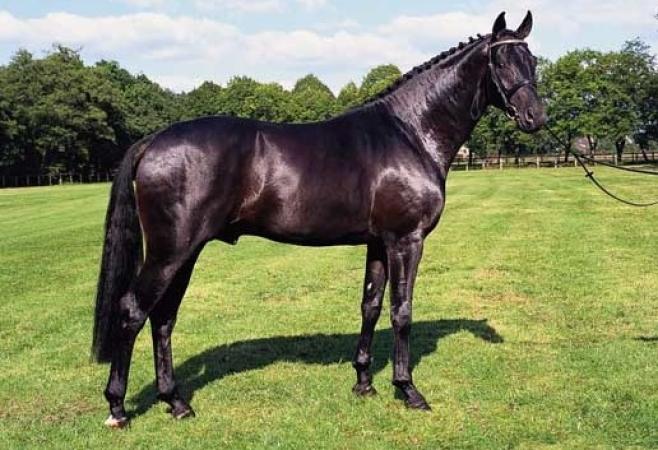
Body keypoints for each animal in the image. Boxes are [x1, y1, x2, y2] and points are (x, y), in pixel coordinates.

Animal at [92, 11, 546, 427]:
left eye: (533, 60)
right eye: (501, 61)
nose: (536, 118)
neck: (411, 133)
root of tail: (155, 140)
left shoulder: (378, 242)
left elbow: (370, 305)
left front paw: (364, 382)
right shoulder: (406, 240)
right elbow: (401, 310)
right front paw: (408, 389)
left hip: (183, 254)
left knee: (163, 316)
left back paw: (176, 402)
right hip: (171, 251)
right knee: (133, 311)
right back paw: (117, 408)